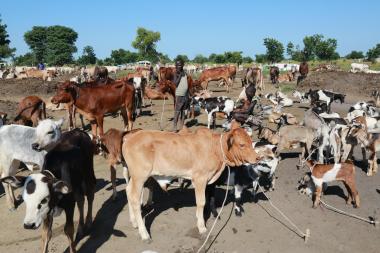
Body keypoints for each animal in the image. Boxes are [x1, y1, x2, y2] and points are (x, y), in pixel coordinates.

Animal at [0, 120, 95, 253]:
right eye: (25, 200)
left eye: (44, 199)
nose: (29, 225)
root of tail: (79, 131)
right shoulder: (46, 213)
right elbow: (46, 234)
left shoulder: (69, 205)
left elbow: (68, 230)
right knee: (81, 199)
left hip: (88, 172)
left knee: (89, 194)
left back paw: (89, 222)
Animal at [121, 122, 258, 241]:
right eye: (242, 144)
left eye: (251, 141)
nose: (258, 158)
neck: (215, 149)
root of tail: (130, 137)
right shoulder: (200, 178)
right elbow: (201, 202)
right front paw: (202, 226)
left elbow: (208, 199)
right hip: (140, 176)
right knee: (135, 198)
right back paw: (144, 233)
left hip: (135, 177)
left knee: (128, 191)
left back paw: (134, 222)